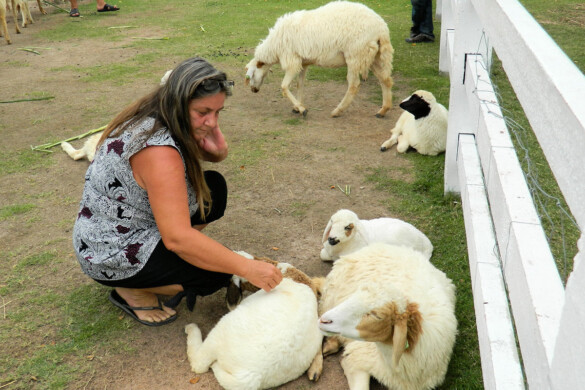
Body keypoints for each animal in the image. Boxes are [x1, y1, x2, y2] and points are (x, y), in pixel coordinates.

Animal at [242, 0, 392, 118]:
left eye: (251, 75)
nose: (253, 90)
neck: (273, 48)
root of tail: (381, 28)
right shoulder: (303, 62)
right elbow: (300, 84)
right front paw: (297, 107)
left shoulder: (292, 61)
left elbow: (284, 86)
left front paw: (302, 109)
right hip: (372, 56)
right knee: (385, 80)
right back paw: (383, 110)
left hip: (356, 55)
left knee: (354, 85)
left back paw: (337, 111)